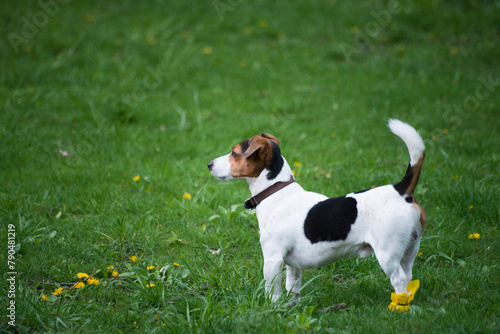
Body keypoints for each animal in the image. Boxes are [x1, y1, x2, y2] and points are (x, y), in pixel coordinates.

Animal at [207, 120, 426, 310]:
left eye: (234, 153)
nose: (209, 163)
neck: (276, 191)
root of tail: (401, 190)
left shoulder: (273, 259)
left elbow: (272, 291)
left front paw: (271, 309)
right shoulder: (293, 265)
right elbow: (292, 289)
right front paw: (291, 308)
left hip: (387, 254)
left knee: (399, 280)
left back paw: (397, 309)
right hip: (409, 250)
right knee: (408, 278)